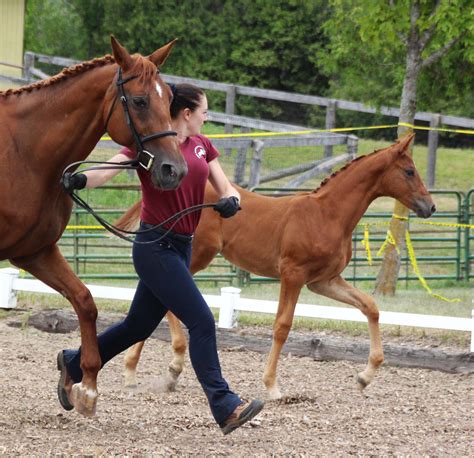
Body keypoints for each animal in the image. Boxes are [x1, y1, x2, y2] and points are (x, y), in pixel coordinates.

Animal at [1, 36, 187, 416]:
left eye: (169, 100)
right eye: (140, 101)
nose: (173, 170)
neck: (23, 153)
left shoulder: (34, 252)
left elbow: (85, 301)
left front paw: (85, 386)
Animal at [118, 134, 434, 398]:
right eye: (409, 171)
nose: (430, 207)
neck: (327, 215)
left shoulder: (324, 281)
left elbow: (370, 306)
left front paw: (365, 376)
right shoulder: (293, 274)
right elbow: (282, 326)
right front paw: (272, 386)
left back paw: (137, 369)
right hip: (196, 255)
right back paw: (169, 364)